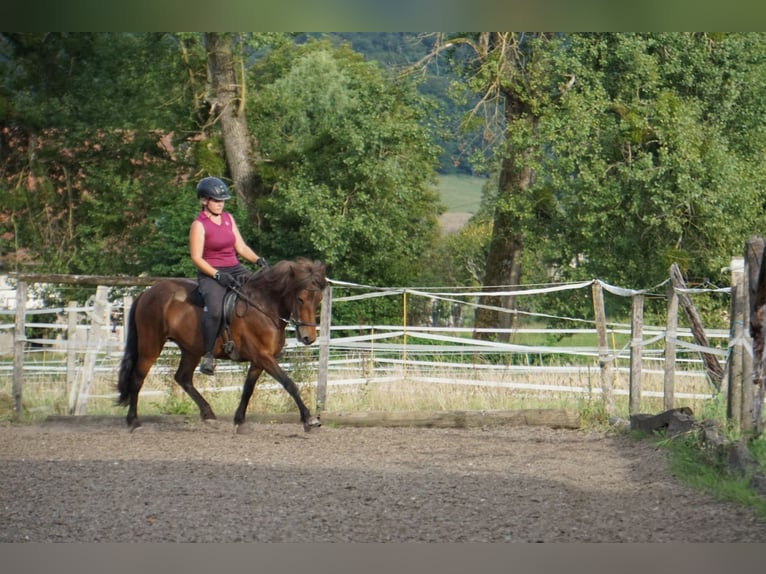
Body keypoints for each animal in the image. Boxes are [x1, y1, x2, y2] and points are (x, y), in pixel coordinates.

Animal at [117, 258, 328, 434]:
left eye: (319, 300)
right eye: (300, 299)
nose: (309, 338)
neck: (264, 306)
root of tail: (147, 292)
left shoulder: (259, 360)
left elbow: (248, 388)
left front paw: (239, 421)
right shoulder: (263, 356)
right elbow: (289, 383)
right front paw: (309, 419)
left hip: (191, 349)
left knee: (183, 378)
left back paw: (208, 414)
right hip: (151, 345)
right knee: (137, 378)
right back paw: (133, 422)